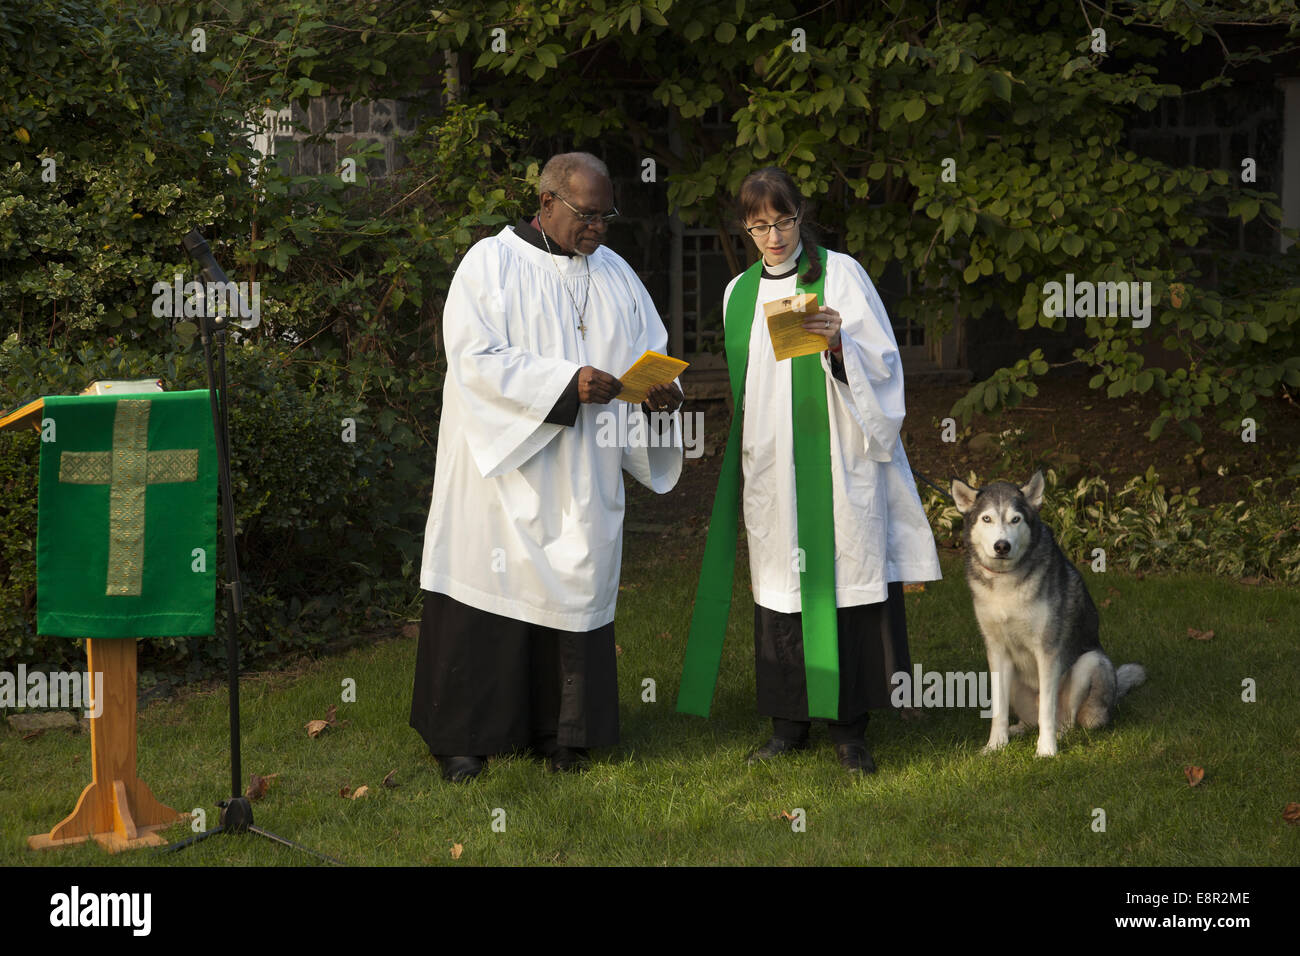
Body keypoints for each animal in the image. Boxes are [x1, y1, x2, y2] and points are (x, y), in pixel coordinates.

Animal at [946, 470, 1149, 754]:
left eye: (1015, 519)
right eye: (987, 518)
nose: (1002, 546)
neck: (1006, 583)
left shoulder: (1048, 650)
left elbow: (1047, 710)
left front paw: (1046, 750)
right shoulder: (996, 650)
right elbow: (998, 709)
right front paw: (995, 745)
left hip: (1090, 664)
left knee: (1066, 719)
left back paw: (1059, 735)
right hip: (1013, 678)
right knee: (1029, 719)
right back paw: (1017, 730)